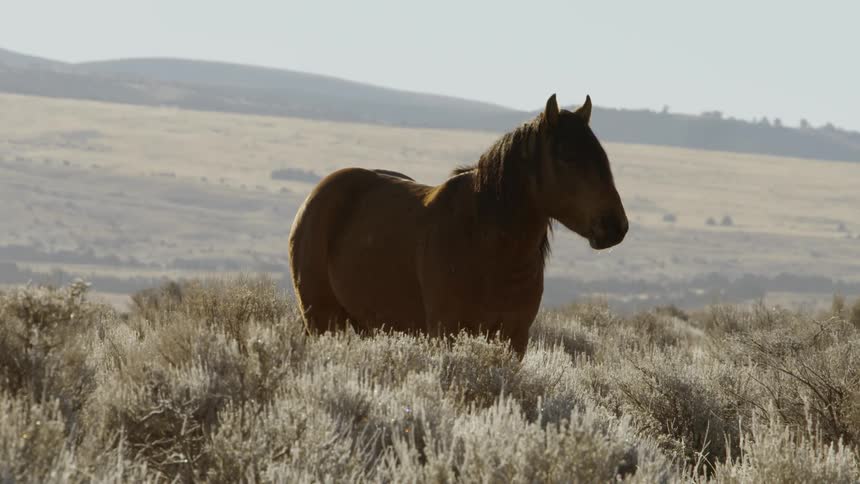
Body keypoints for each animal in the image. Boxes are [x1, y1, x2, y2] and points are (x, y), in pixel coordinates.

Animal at [288, 94, 628, 358]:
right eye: (567, 157)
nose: (616, 226)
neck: (488, 247)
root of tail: (313, 199)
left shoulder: (514, 337)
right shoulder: (447, 331)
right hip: (323, 320)